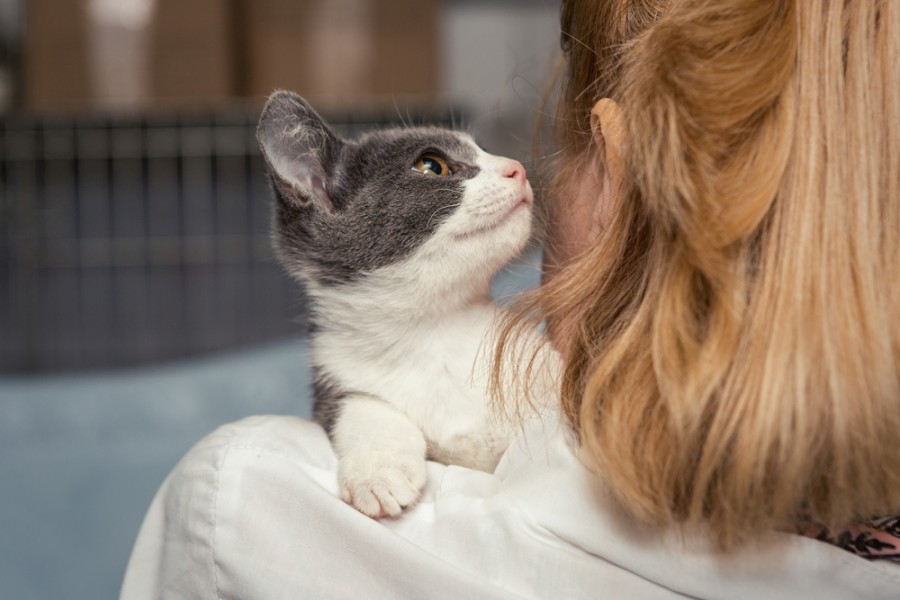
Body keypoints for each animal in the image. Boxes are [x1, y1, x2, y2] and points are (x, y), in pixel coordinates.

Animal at [256, 91, 560, 516]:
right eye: (431, 165)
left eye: (484, 149)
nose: (516, 169)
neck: (436, 331)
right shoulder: (337, 377)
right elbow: (361, 408)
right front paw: (376, 472)